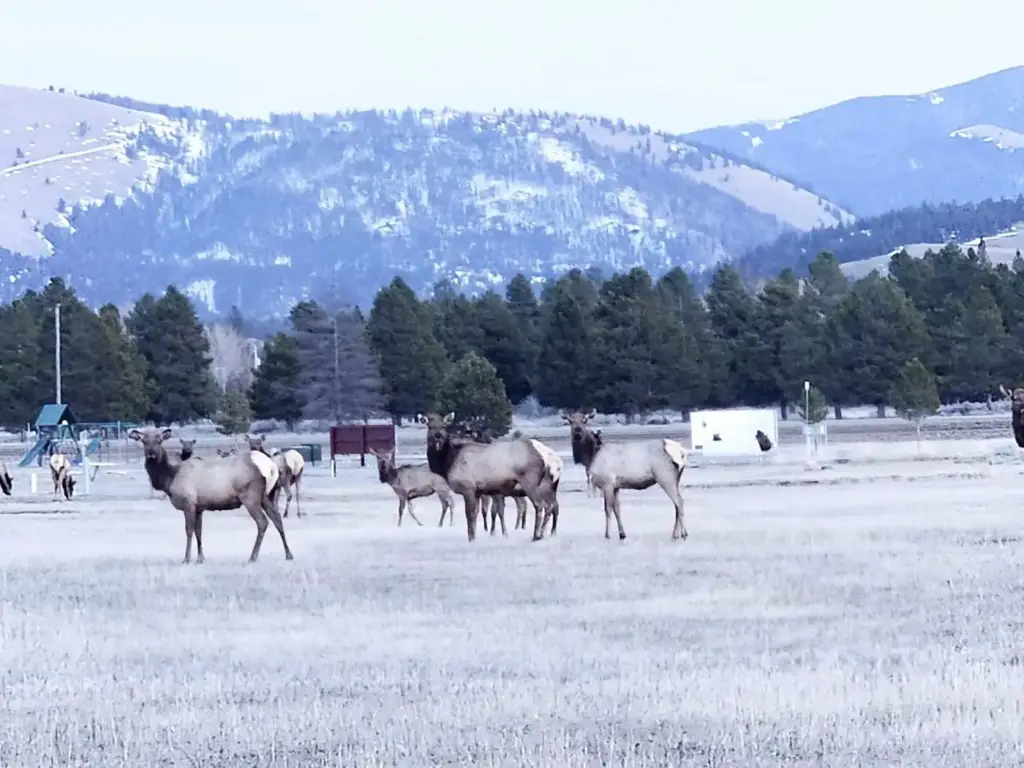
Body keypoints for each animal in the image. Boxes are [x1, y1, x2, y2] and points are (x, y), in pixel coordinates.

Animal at [130, 427, 292, 564]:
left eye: (159, 441)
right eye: (144, 441)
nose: (151, 454)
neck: (169, 478)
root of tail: (271, 467)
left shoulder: (189, 503)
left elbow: (189, 531)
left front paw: (186, 559)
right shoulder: (199, 507)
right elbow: (199, 532)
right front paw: (200, 558)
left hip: (250, 496)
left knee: (263, 522)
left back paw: (253, 556)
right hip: (268, 495)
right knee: (277, 519)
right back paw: (288, 554)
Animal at [561, 409, 688, 541]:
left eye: (584, 421)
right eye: (570, 421)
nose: (578, 434)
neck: (591, 456)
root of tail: (681, 452)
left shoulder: (607, 483)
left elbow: (607, 509)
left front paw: (607, 534)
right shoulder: (616, 486)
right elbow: (617, 509)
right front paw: (622, 534)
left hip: (665, 476)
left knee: (679, 502)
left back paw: (684, 533)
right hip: (675, 478)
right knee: (676, 504)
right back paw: (675, 534)